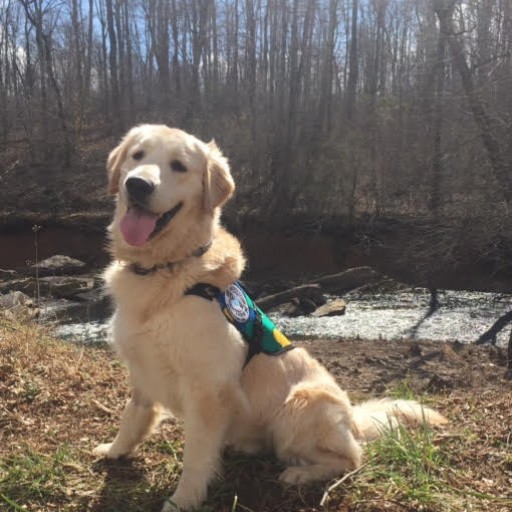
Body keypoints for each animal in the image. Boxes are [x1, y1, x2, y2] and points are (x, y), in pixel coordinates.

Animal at [94, 125, 446, 512]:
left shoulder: (208, 389)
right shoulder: (142, 369)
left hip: (301, 404)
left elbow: (196, 456)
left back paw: (300, 473)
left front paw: (184, 499)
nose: (137, 185)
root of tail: (353, 420)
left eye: (179, 166)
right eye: (137, 155)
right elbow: (133, 416)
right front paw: (114, 450)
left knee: (352, 457)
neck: (163, 268)